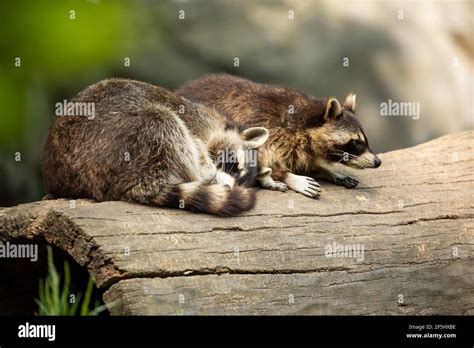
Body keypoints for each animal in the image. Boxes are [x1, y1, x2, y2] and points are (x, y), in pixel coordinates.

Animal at [43, 78, 270, 215]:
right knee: (162, 119)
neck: (216, 125)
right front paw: (209, 170)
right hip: (125, 139)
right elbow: (196, 146)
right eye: (234, 167)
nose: (230, 186)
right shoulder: (194, 123)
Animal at [175, 73, 382, 198]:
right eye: (355, 142)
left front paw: (328, 171)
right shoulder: (264, 129)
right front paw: (289, 176)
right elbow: (261, 161)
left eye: (365, 140)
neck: (303, 123)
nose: (378, 162)